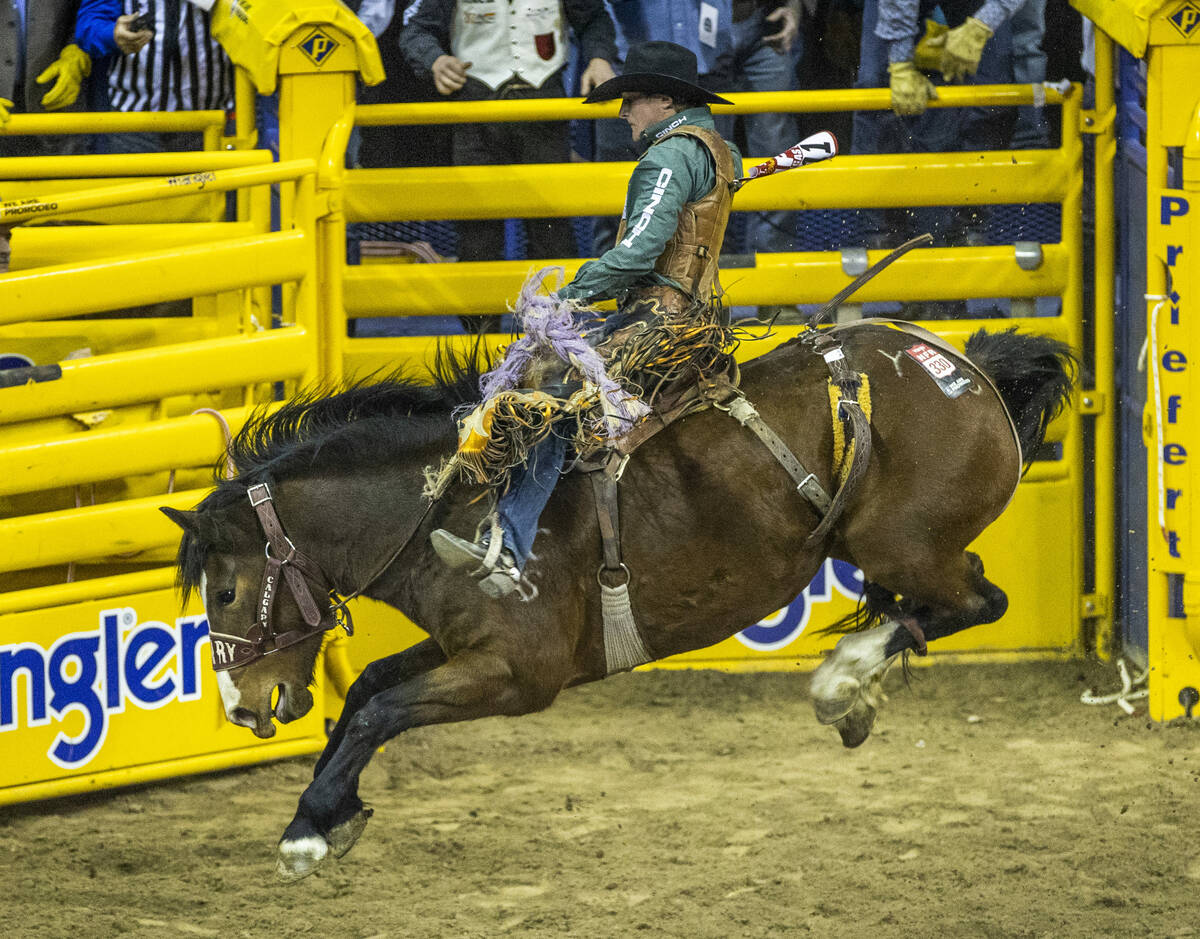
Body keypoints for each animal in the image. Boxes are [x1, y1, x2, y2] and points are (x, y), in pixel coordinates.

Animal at [164, 321, 1075, 883]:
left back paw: (841, 680)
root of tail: (968, 370)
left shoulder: (517, 673)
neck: (450, 503)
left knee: (980, 598)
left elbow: (380, 710)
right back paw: (855, 695)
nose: (243, 707)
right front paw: (333, 808)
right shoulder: (464, 647)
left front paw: (309, 828)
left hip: (906, 545)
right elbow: (365, 689)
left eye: (227, 588)